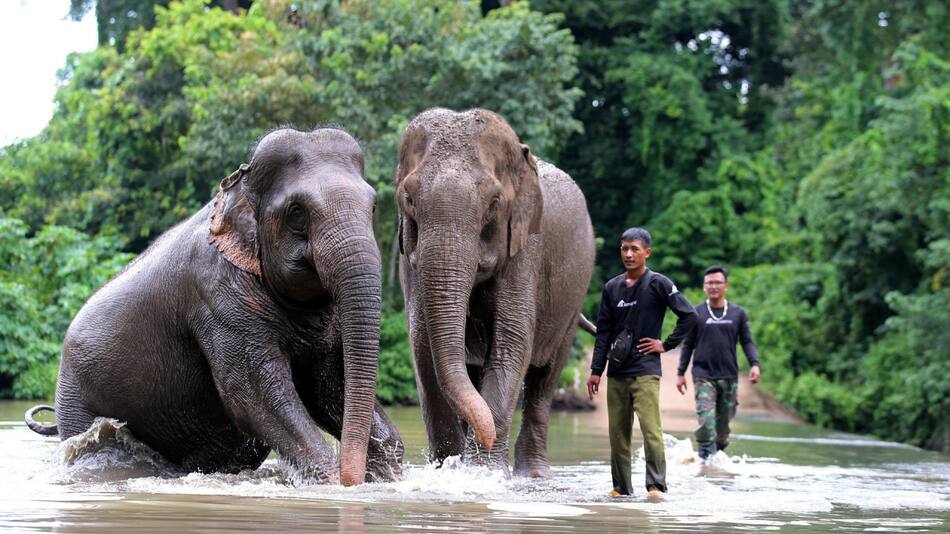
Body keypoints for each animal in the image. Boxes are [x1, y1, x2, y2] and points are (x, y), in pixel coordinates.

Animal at [25, 127, 403, 486]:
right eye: (297, 212)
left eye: (373, 207)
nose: (352, 478)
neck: (240, 186)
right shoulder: (217, 297)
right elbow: (252, 395)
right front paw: (328, 480)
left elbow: (329, 387)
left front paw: (386, 475)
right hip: (76, 397)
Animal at [394, 108, 595, 477]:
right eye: (409, 199)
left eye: (494, 203)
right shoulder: (408, 256)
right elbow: (421, 342)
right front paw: (450, 469)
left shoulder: (527, 246)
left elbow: (512, 339)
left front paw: (483, 473)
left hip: (574, 296)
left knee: (545, 379)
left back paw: (532, 474)